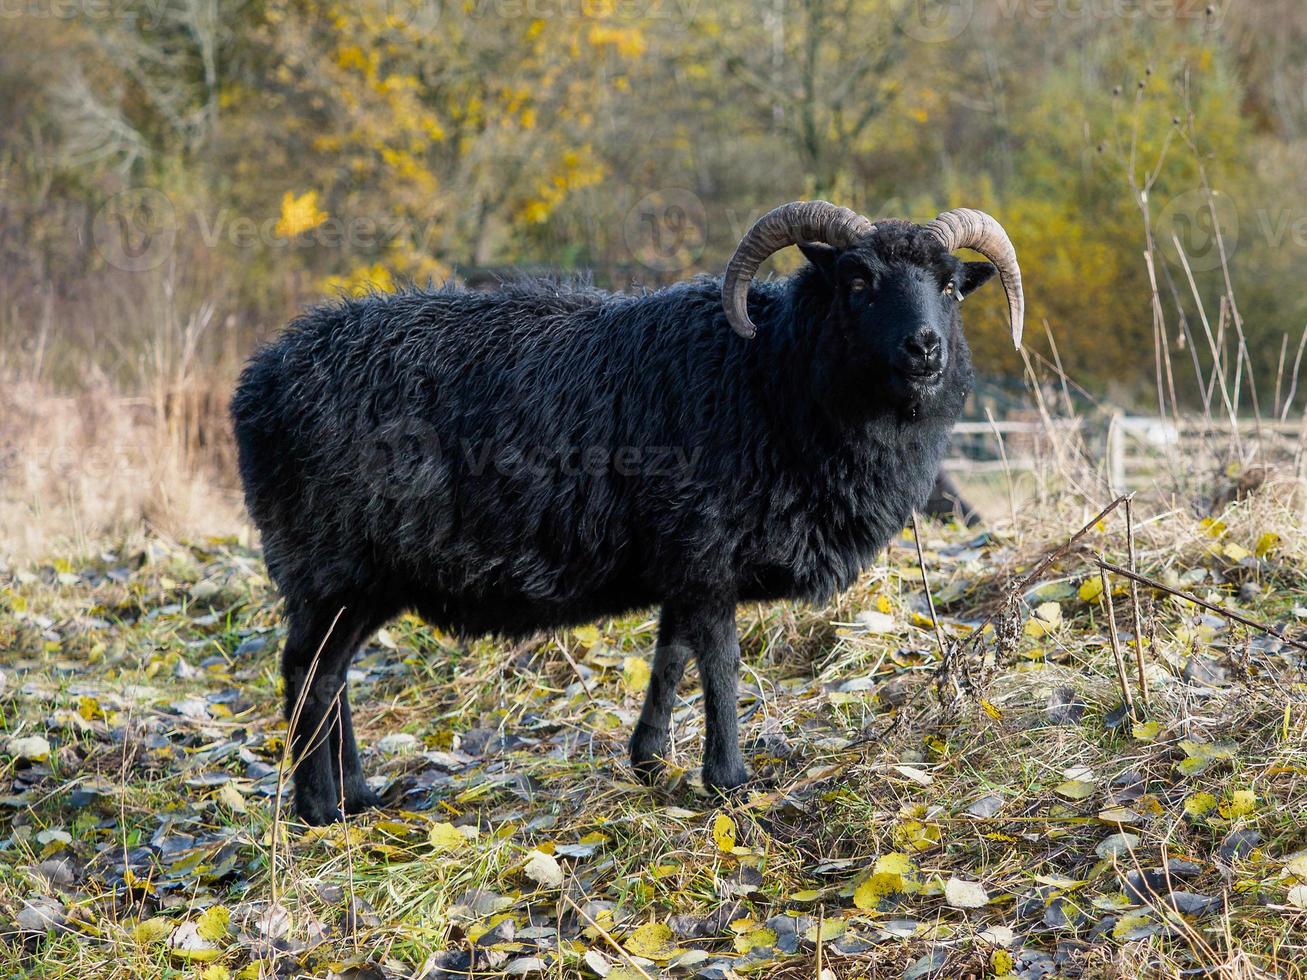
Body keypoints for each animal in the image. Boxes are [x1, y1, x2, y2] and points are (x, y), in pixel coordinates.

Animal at [232, 201, 1019, 831]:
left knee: (331, 675)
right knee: (308, 673)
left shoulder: (682, 560)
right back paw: (321, 810)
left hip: (364, 578)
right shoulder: (707, 554)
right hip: (332, 562)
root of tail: (256, 383)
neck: (768, 377)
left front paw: (651, 763)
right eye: (856, 282)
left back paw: (359, 795)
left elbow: (670, 655)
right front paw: (729, 783)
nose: (925, 347)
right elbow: (720, 665)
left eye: (950, 284)